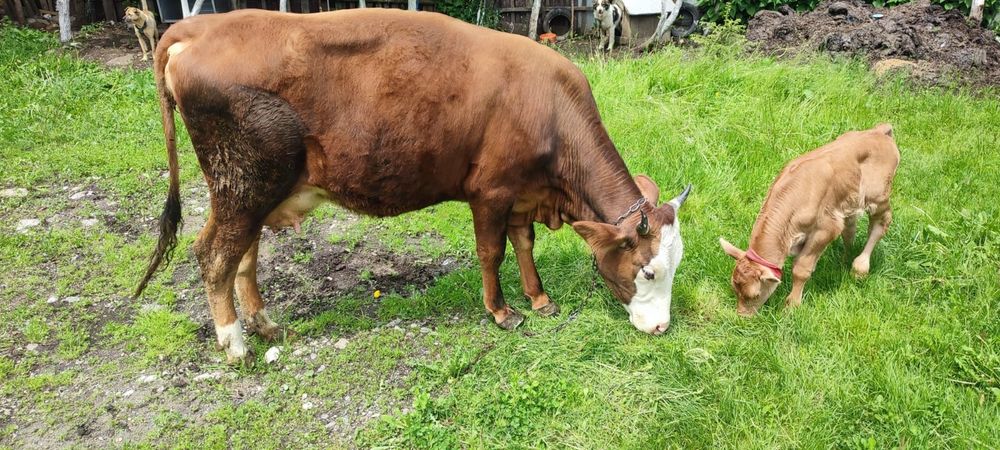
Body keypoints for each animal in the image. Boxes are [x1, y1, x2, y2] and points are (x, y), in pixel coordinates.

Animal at [134, 8, 691, 364]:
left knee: (243, 255)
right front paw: (502, 312)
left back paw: (265, 324)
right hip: (242, 184)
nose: (663, 327)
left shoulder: (521, 193)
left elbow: (524, 244)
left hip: (255, 191)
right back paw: (235, 343)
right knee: (213, 255)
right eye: (647, 271)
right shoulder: (490, 192)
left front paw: (539, 299)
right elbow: (492, 252)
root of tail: (195, 28)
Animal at [720, 123, 899, 316]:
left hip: (878, 197)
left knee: (880, 224)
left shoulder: (826, 229)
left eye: (754, 295)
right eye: (734, 288)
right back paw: (845, 258)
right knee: (850, 228)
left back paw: (859, 268)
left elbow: (801, 269)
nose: (742, 316)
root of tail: (879, 131)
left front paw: (792, 306)